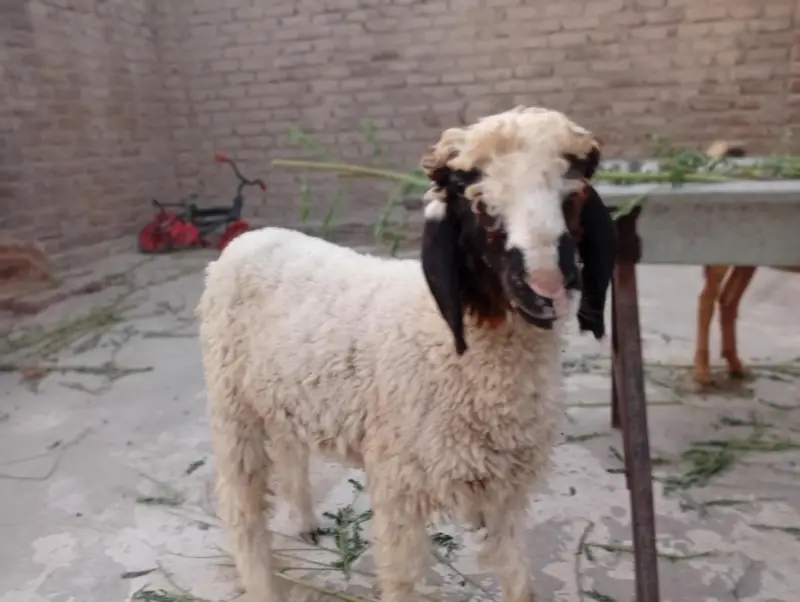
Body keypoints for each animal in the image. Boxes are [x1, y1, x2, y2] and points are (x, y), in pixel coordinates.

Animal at [196, 105, 617, 602]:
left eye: (575, 188)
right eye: (470, 195)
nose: (547, 286)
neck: (448, 345)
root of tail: (250, 238)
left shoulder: (506, 492)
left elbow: (519, 582)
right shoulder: (398, 483)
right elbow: (400, 579)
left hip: (282, 395)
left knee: (288, 450)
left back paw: (305, 523)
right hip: (231, 404)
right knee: (241, 509)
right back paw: (263, 583)